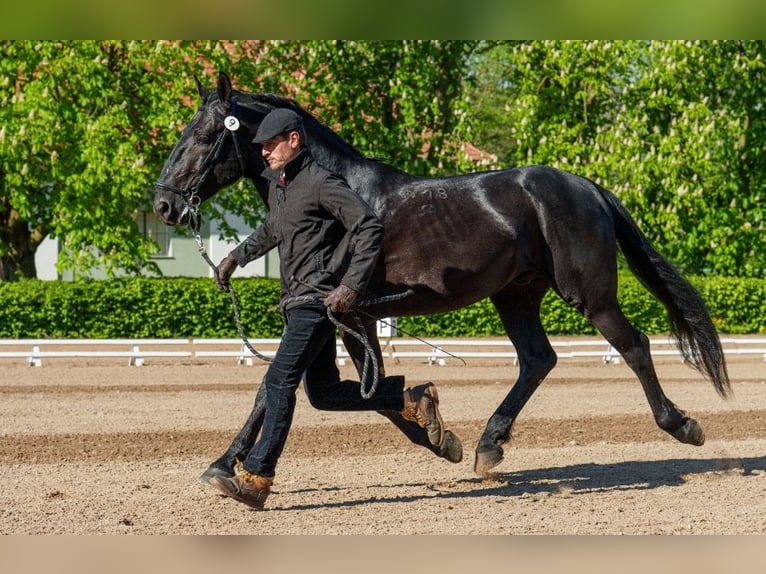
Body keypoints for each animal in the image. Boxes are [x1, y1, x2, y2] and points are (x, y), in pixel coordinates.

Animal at [152, 72, 732, 484]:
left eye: (204, 136)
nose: (163, 205)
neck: (341, 195)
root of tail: (587, 187)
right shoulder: (333, 318)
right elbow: (300, 389)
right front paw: (223, 465)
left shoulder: (346, 314)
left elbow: (346, 388)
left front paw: (434, 432)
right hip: (515, 295)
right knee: (538, 359)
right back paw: (489, 445)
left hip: (590, 295)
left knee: (633, 346)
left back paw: (681, 424)